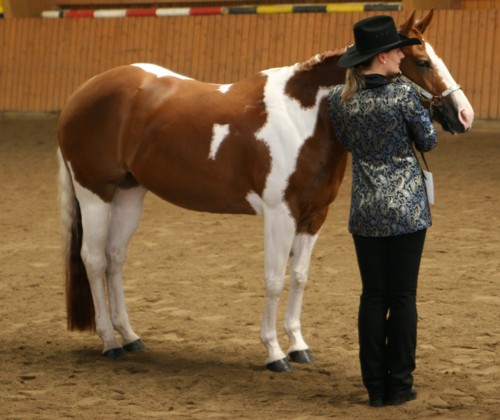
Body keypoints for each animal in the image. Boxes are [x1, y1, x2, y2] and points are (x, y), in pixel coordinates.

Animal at [57, 9, 472, 370]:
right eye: (422, 61)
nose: (464, 115)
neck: (305, 118)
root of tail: (79, 94)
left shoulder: (313, 217)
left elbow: (299, 277)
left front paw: (299, 345)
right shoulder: (280, 215)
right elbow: (274, 280)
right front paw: (274, 352)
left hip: (129, 193)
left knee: (114, 258)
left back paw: (129, 336)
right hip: (94, 193)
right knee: (93, 259)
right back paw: (109, 341)